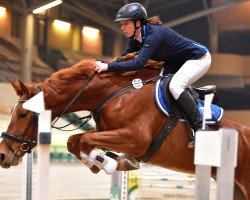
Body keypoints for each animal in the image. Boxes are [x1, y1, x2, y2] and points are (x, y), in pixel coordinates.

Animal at [0, 58, 249, 199]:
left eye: (23, 114)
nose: (2, 155)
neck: (112, 94)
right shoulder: (108, 133)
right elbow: (75, 141)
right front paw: (101, 163)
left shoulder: (135, 139)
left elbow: (85, 141)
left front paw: (114, 163)